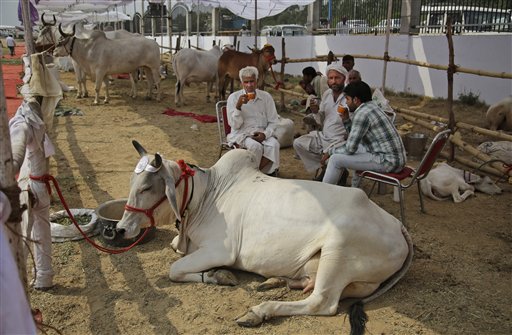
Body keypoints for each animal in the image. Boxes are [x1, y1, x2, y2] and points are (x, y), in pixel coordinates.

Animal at [115, 142, 412, 335]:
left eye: (146, 188)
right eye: (131, 183)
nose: (120, 228)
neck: (206, 196)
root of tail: (398, 225)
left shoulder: (221, 251)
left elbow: (174, 270)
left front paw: (218, 275)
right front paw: (215, 275)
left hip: (336, 252)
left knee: (322, 302)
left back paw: (259, 311)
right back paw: (275, 281)